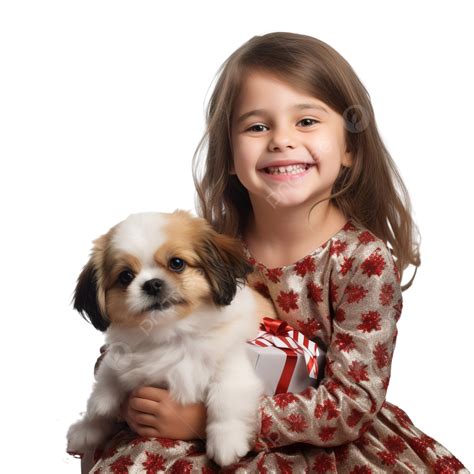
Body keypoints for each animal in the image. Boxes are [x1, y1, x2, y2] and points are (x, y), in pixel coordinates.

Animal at [65, 210, 276, 466]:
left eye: (177, 263)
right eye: (126, 276)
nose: (152, 284)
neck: (173, 333)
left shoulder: (233, 361)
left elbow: (225, 395)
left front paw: (227, 442)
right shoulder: (121, 356)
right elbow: (105, 382)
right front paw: (88, 425)